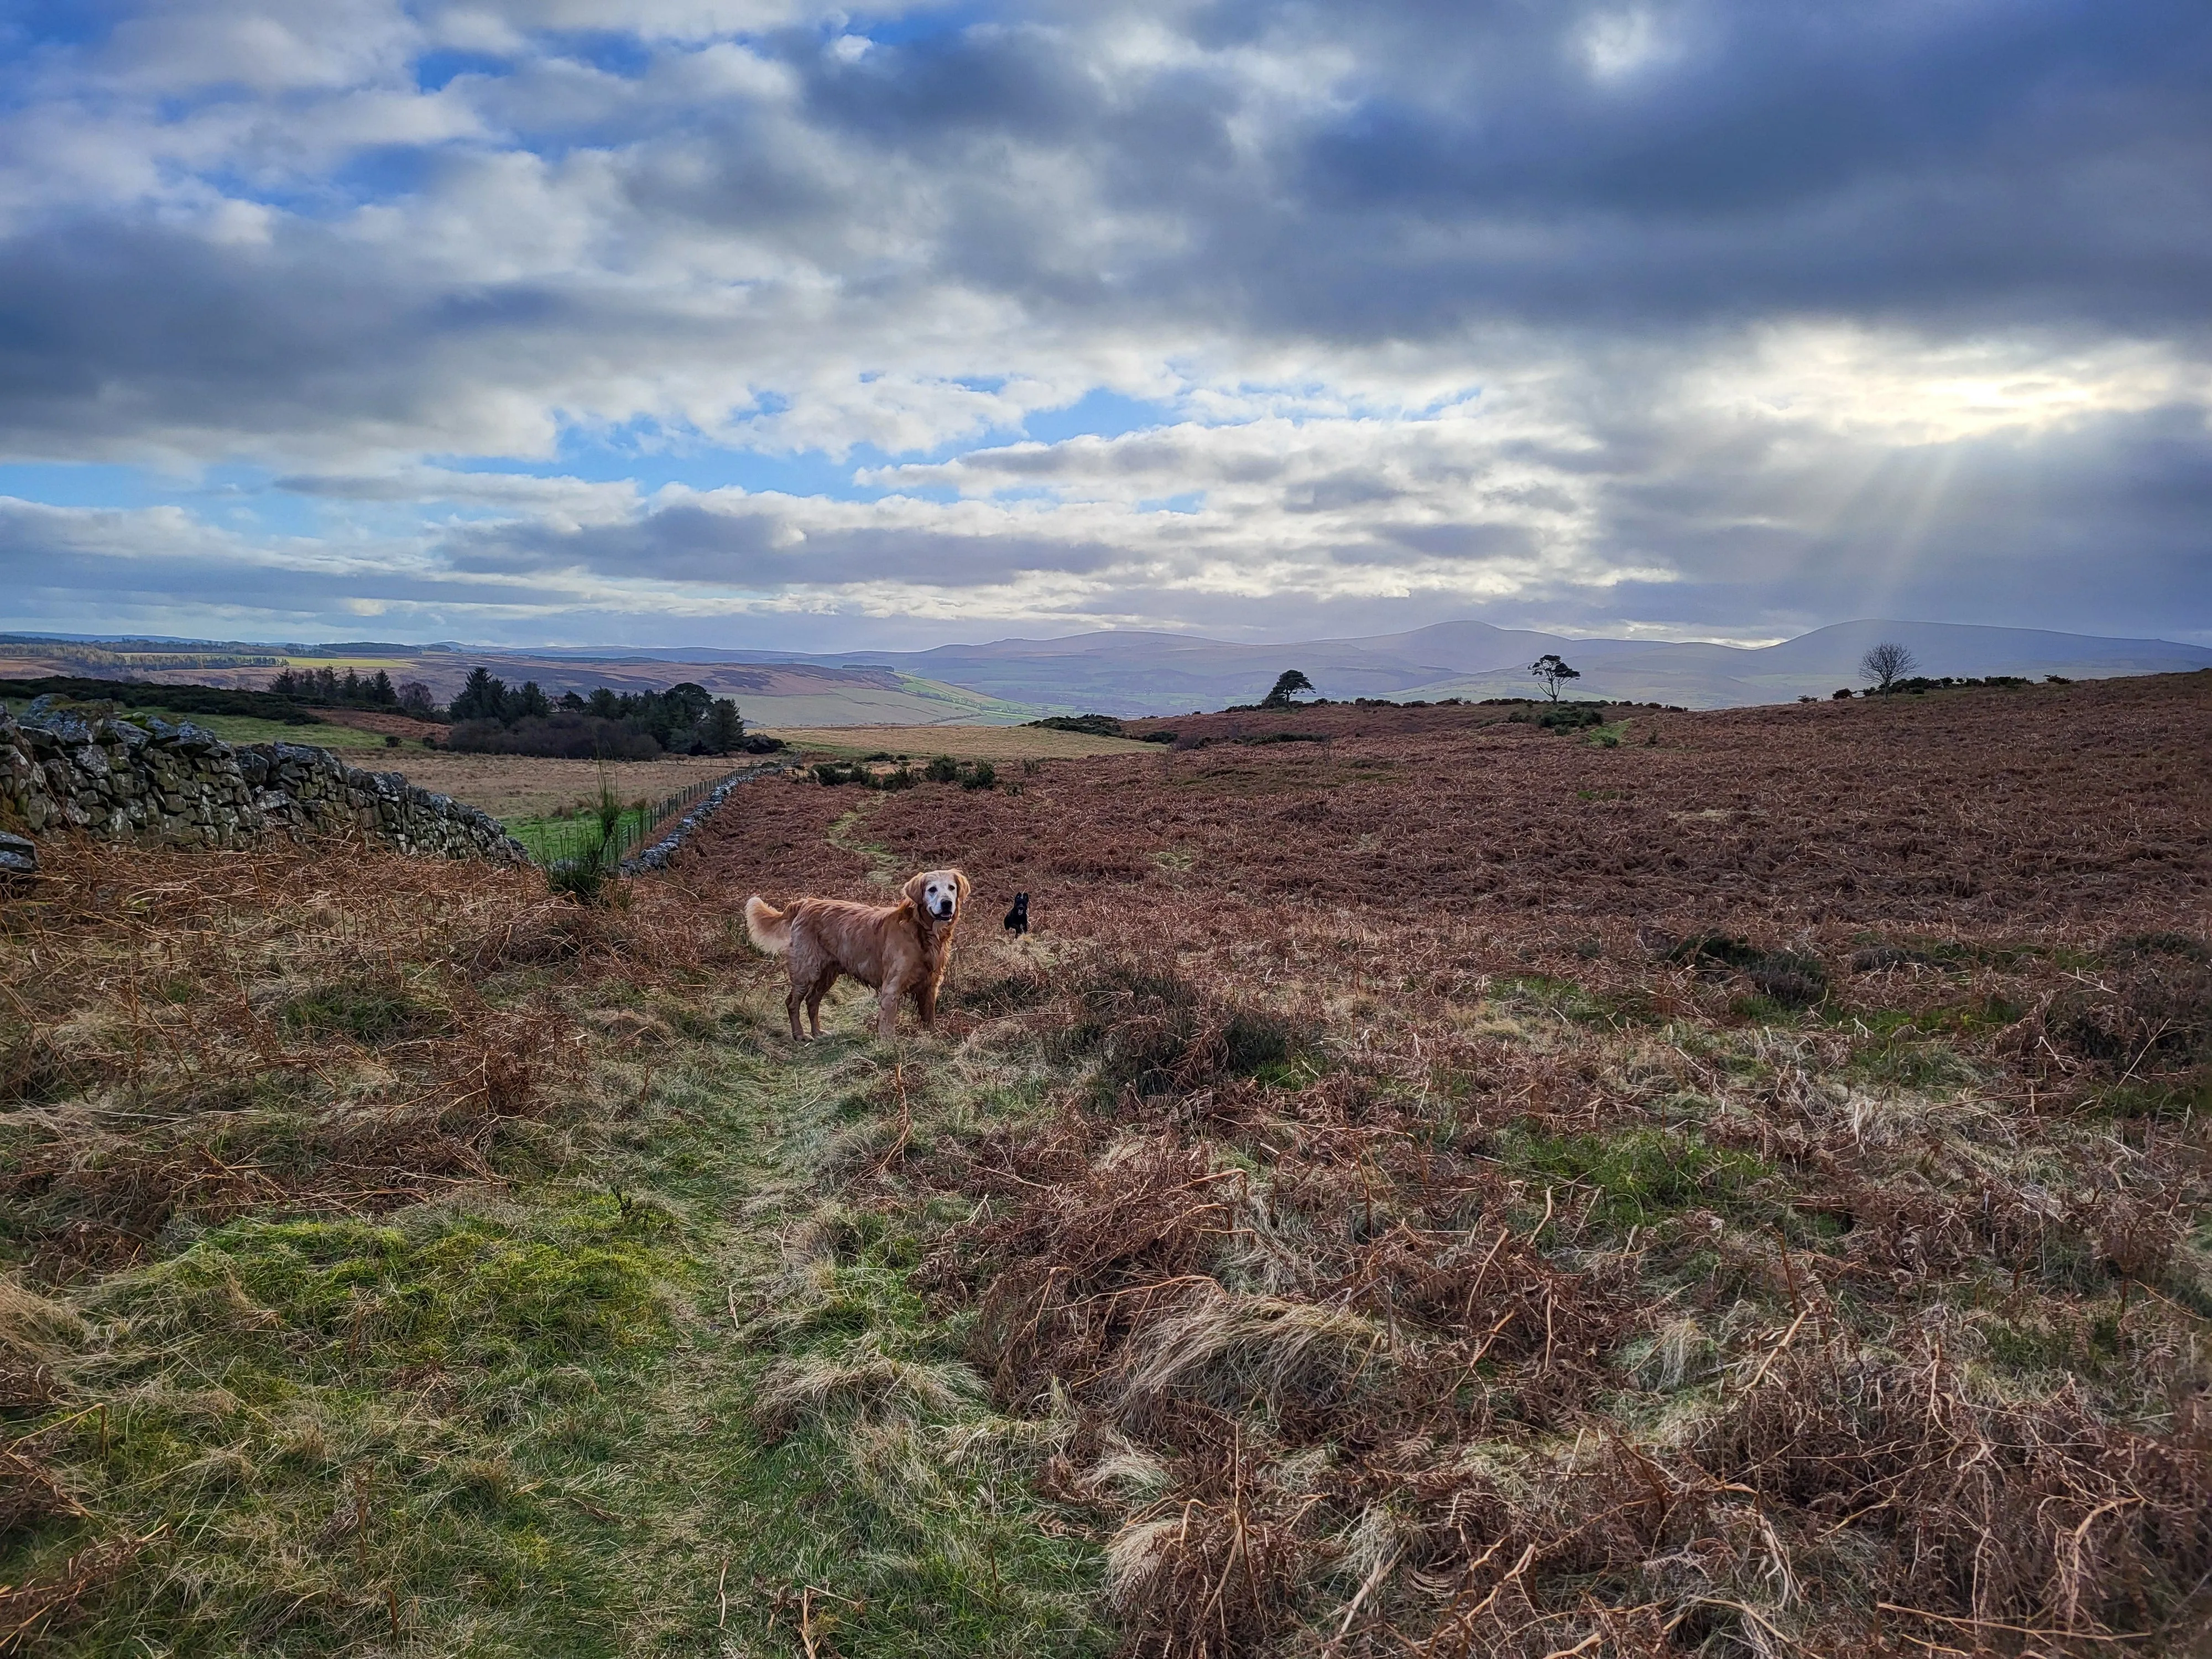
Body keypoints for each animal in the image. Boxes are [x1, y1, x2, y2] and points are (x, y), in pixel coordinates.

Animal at [743, 872, 969, 1040]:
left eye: (951, 888)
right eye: (932, 889)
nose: (947, 903)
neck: (922, 933)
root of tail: (805, 903)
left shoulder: (931, 984)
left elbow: (929, 1017)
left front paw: (933, 1039)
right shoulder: (892, 986)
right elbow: (887, 1024)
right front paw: (889, 1046)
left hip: (828, 975)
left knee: (812, 1001)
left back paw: (818, 1032)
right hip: (806, 970)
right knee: (793, 1002)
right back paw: (799, 1035)